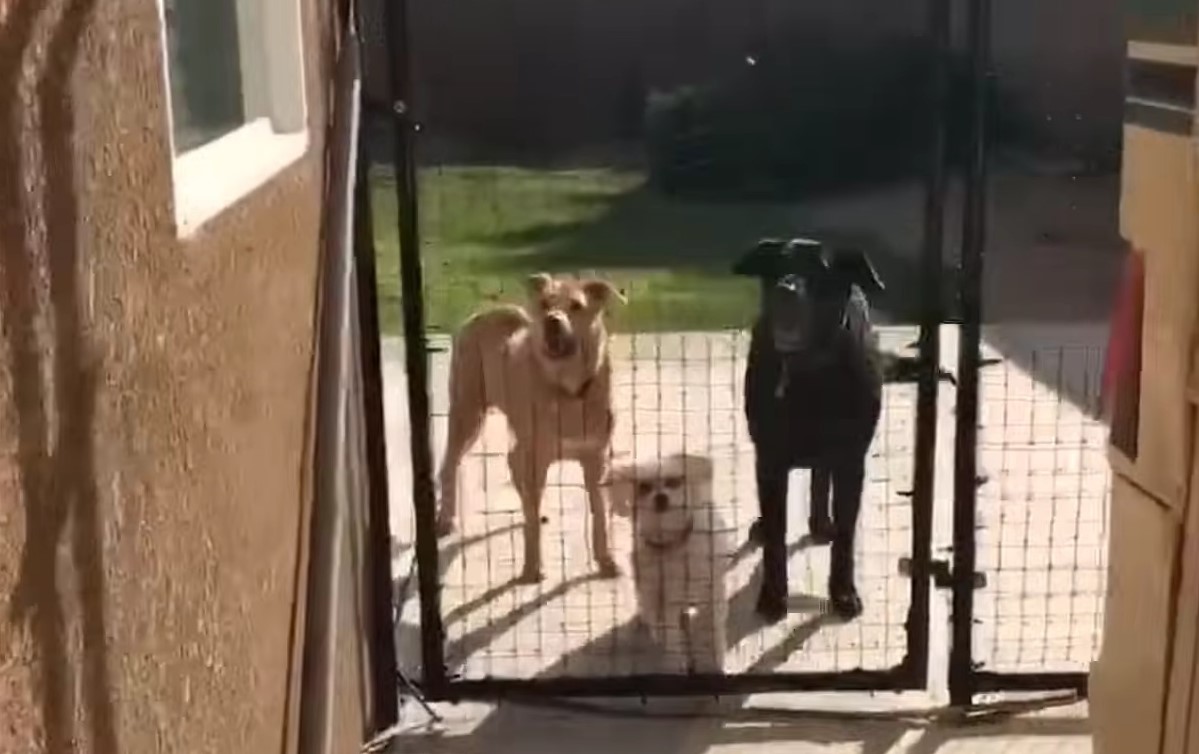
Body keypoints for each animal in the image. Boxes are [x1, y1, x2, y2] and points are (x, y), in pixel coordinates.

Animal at [434, 272, 623, 582]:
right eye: (545, 303)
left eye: (577, 306)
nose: (552, 321)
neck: (567, 389)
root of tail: (484, 312)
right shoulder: (537, 457)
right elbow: (531, 524)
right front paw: (532, 567)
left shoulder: (596, 459)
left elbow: (600, 518)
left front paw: (606, 561)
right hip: (468, 414)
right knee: (450, 465)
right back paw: (445, 518)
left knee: (513, 463)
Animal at [609, 450, 728, 671]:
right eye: (644, 487)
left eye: (674, 481)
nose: (661, 497)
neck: (672, 544)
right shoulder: (659, 596)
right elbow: (667, 629)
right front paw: (677, 660)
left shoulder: (712, 589)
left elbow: (714, 626)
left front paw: (716, 658)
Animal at [733, 238, 887, 618]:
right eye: (775, 266)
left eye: (820, 270)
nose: (784, 289)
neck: (808, 371)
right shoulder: (770, 460)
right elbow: (776, 535)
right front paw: (773, 595)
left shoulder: (851, 460)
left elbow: (846, 535)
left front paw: (843, 592)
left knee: (821, 476)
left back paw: (820, 523)